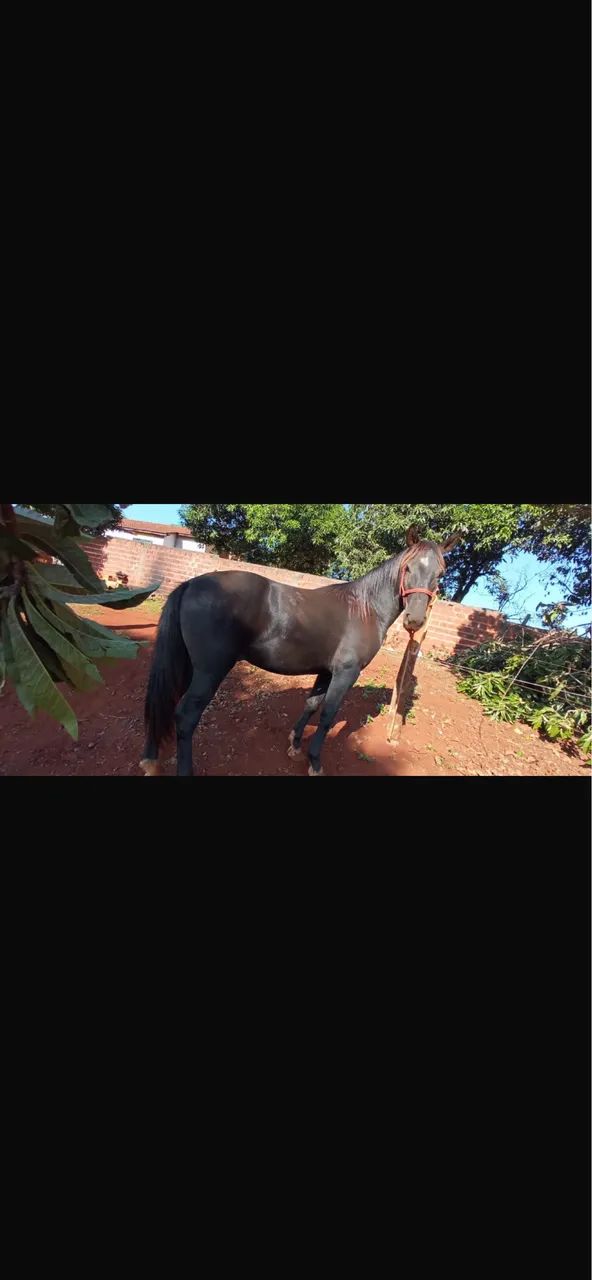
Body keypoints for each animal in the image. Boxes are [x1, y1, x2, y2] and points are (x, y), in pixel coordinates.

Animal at [140, 527, 459, 777]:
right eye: (408, 568)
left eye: (440, 573)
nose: (415, 620)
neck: (364, 608)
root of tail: (191, 583)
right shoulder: (346, 673)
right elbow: (328, 714)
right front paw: (314, 762)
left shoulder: (326, 671)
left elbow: (311, 704)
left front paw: (294, 745)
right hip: (210, 670)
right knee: (185, 715)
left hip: (188, 665)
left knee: (165, 701)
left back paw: (150, 761)